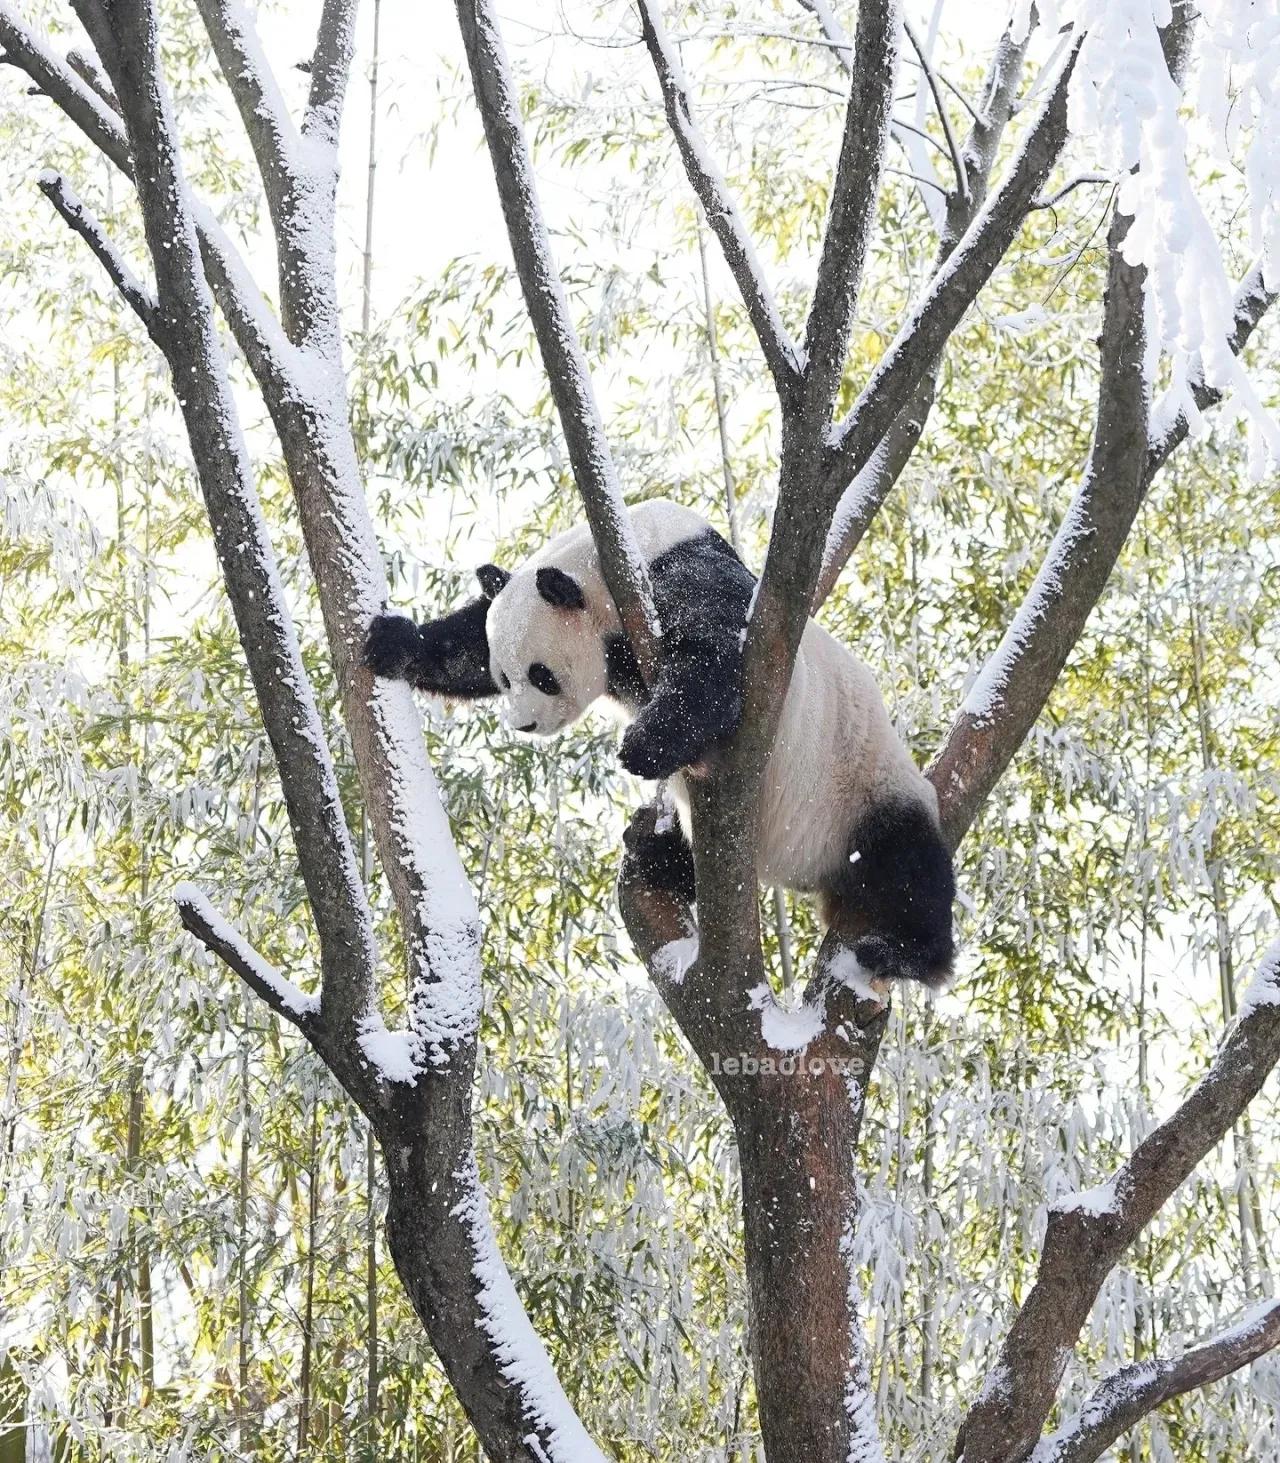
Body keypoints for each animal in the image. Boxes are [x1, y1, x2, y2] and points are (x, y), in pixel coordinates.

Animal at [365, 497, 953, 988]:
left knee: (907, 868)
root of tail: (806, 877)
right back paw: (655, 854)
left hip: (862, 789)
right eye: (505, 676)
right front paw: (394, 642)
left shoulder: (684, 577)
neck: (614, 560)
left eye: (542, 676)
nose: (524, 725)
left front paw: (642, 745)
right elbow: (464, 642)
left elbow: (718, 660)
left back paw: (906, 956)